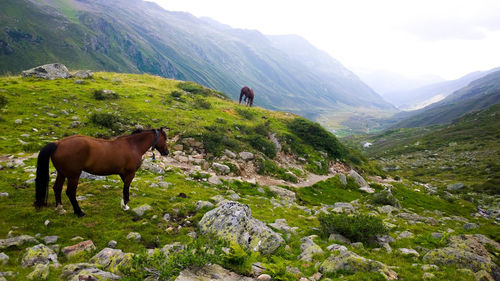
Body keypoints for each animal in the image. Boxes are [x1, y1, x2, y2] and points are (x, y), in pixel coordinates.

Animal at [34, 128, 170, 215]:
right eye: (165, 138)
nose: (167, 152)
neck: (133, 146)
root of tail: (58, 143)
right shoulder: (130, 173)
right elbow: (126, 189)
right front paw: (125, 206)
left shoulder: (123, 174)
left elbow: (125, 189)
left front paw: (124, 204)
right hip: (73, 175)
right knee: (70, 192)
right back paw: (79, 212)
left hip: (62, 173)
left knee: (57, 188)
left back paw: (60, 209)